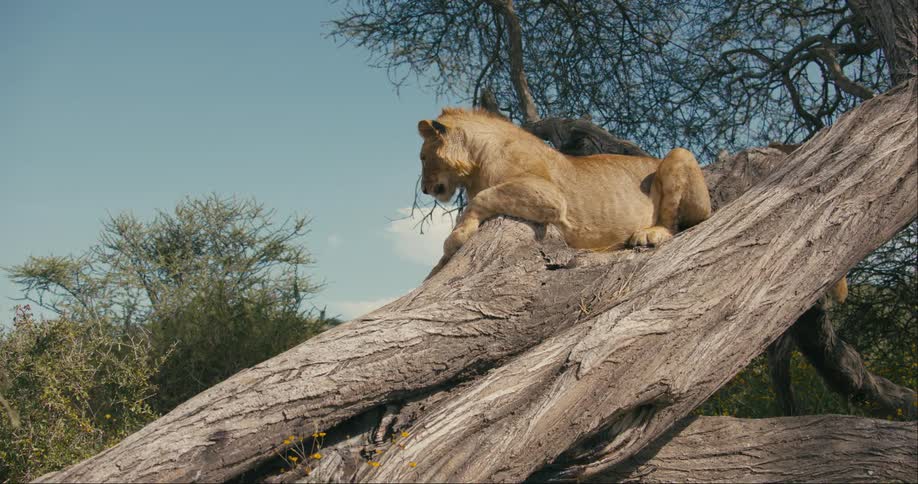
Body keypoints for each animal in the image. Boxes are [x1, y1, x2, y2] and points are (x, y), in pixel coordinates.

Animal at [417, 107, 711, 278]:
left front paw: (457, 235)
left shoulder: (551, 197)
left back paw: (650, 234)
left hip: (680, 154)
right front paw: (436, 267)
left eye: (422, 157)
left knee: (677, 223)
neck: (475, 164)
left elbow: (481, 198)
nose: (424, 189)